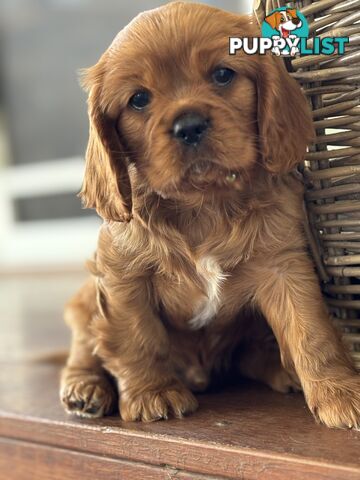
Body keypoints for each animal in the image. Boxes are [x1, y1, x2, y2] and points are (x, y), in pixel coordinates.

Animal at [60, 0, 358, 428]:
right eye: (138, 99)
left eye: (222, 74)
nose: (189, 126)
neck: (203, 204)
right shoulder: (121, 278)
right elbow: (136, 336)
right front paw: (153, 394)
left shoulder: (284, 266)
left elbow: (311, 332)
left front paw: (339, 393)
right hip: (85, 299)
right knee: (85, 348)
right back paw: (85, 389)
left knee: (251, 354)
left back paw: (280, 367)